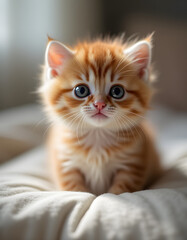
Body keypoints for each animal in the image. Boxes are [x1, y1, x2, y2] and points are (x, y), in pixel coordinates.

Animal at [39, 35, 162, 195]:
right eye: (81, 90)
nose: (99, 104)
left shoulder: (132, 165)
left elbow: (120, 191)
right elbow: (75, 190)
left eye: (117, 91)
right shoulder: (66, 164)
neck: (97, 136)